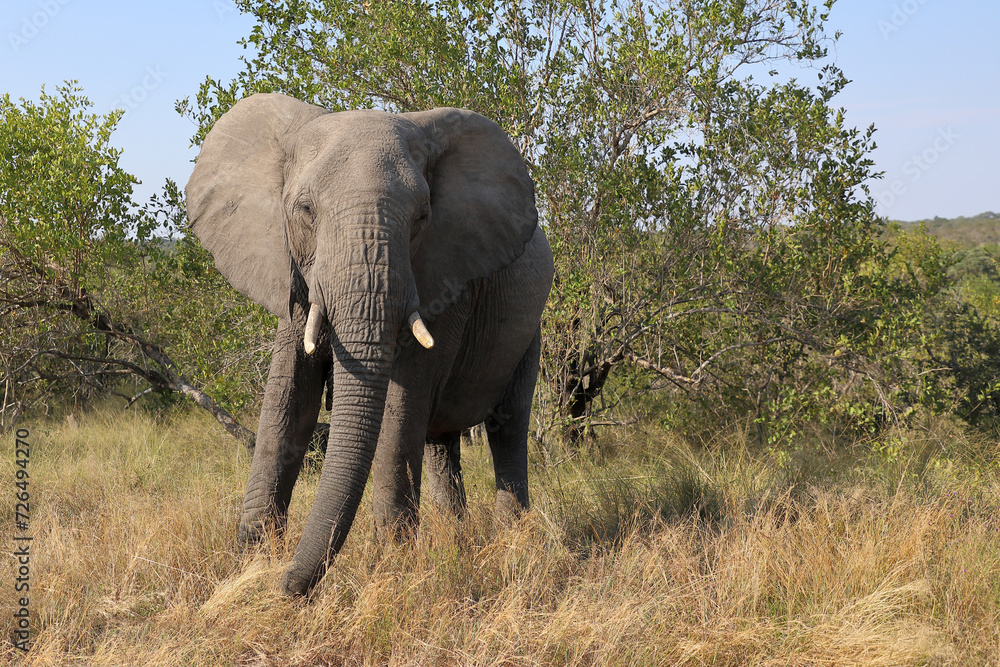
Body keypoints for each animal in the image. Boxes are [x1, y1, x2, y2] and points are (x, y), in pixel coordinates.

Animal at [186, 92, 556, 596]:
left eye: (422, 217)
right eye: (304, 210)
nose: (285, 585)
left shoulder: (445, 275)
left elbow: (399, 412)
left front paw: (394, 568)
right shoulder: (293, 273)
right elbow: (286, 405)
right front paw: (249, 563)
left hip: (529, 328)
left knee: (507, 427)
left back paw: (510, 542)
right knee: (442, 443)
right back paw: (458, 543)